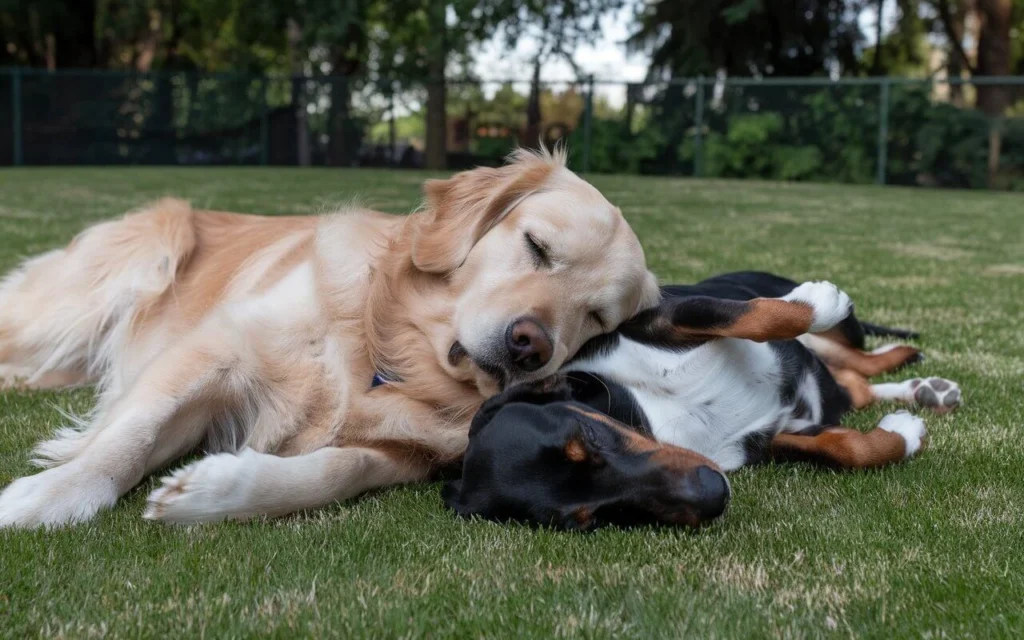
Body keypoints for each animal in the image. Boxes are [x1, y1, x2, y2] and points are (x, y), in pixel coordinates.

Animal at [442, 270, 958, 528]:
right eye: (590, 520)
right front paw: (903, 434)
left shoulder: (669, 315)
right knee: (854, 382)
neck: (650, 413)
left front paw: (819, 300)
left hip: (838, 335)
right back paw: (924, 392)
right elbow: (846, 448)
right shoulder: (771, 439)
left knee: (856, 359)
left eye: (587, 434)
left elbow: (758, 316)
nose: (713, 495)